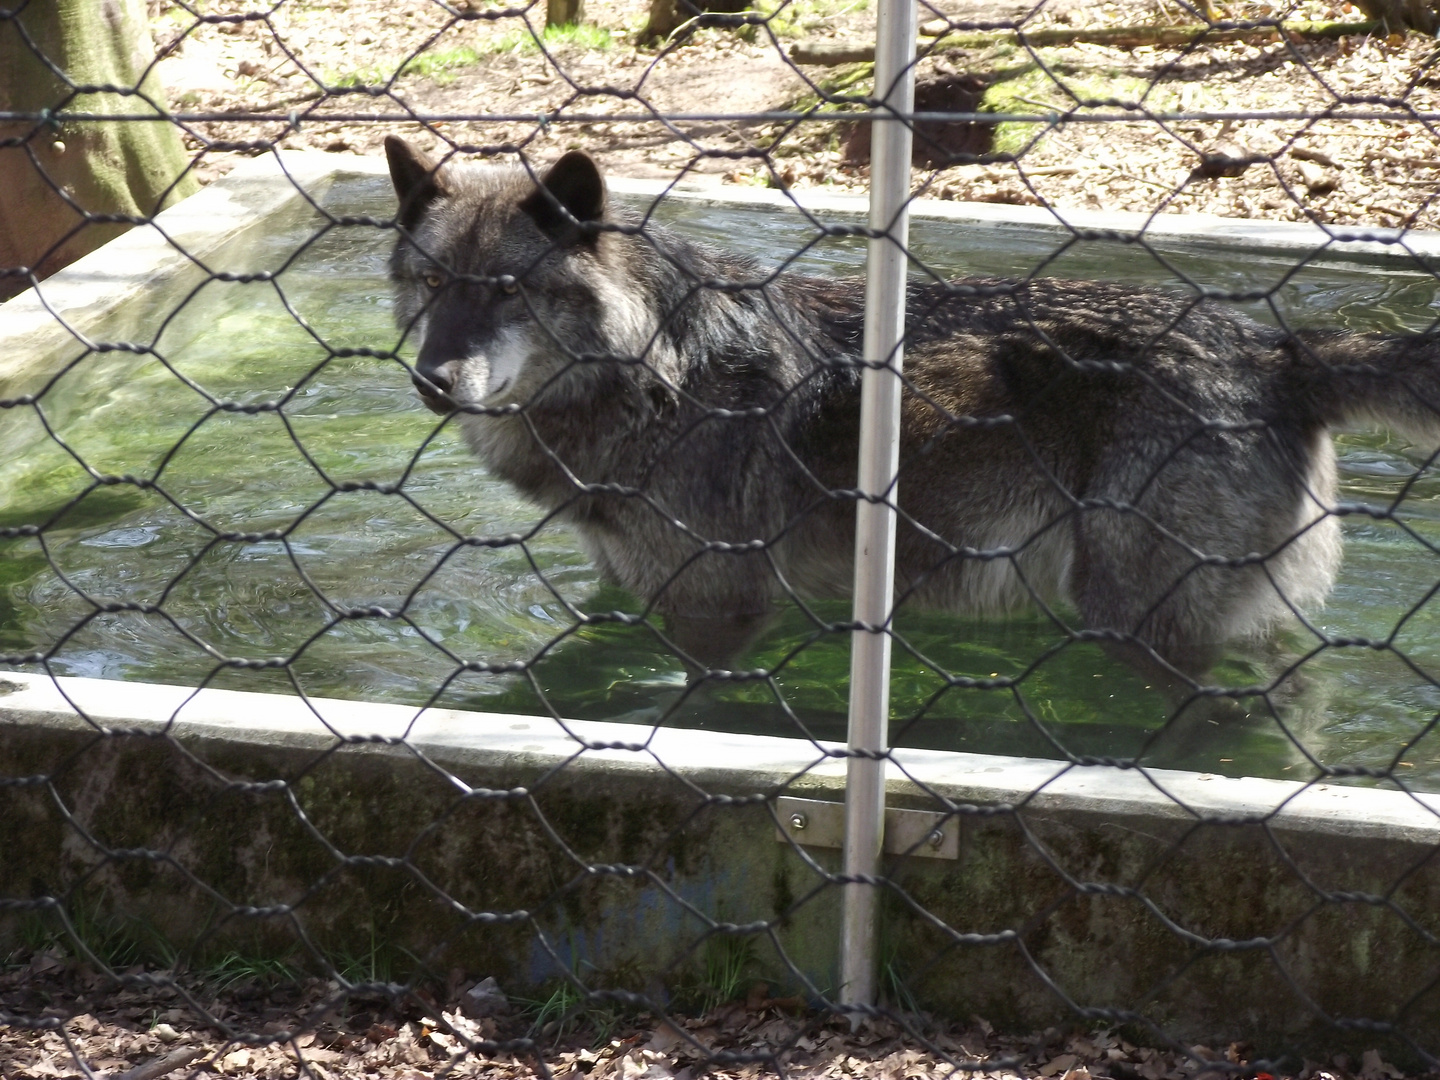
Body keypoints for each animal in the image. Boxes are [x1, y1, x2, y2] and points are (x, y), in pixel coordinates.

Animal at [380, 135, 1440, 679]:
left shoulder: (718, 609)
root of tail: (1280, 351)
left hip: (1133, 616)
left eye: (508, 291)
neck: (659, 369)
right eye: (432, 283)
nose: (433, 380)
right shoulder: (630, 591)